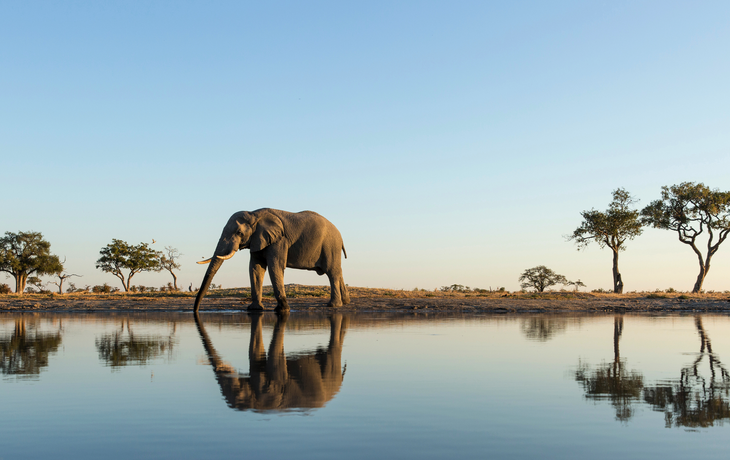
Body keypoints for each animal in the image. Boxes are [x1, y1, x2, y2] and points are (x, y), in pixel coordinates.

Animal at [194, 208, 349, 312]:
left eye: (239, 233)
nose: (195, 311)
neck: (254, 214)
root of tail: (340, 235)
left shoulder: (279, 240)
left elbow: (275, 266)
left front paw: (283, 310)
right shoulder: (257, 240)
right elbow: (255, 268)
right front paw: (255, 309)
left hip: (330, 246)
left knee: (332, 272)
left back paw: (333, 305)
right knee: (338, 272)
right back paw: (346, 302)